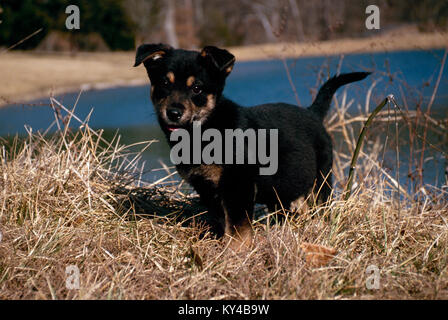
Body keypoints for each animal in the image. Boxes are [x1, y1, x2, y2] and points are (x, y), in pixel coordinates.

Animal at [134, 43, 372, 248]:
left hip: (320, 181)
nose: (173, 113)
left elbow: (238, 225)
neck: (205, 130)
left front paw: (236, 252)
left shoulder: (239, 184)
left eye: (197, 88)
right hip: (282, 188)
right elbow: (222, 220)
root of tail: (312, 112)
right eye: (164, 84)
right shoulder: (206, 187)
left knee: (320, 207)